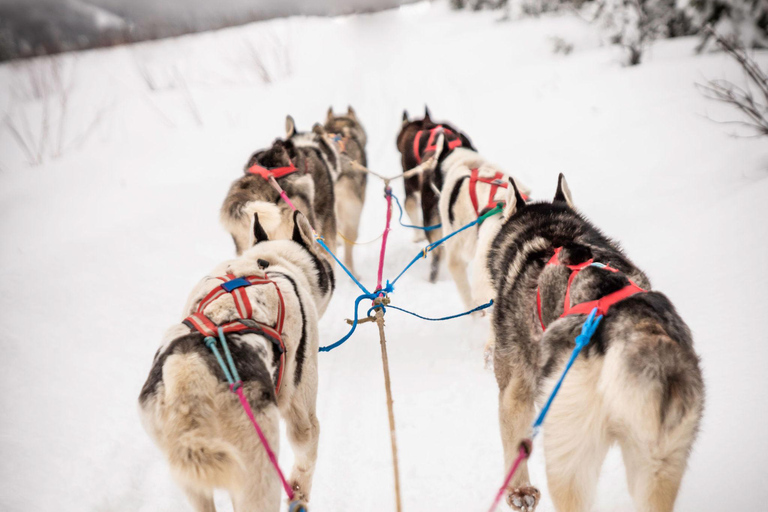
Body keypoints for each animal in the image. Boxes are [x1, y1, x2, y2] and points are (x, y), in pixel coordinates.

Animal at [488, 174, 704, 510]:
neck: (552, 233)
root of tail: (632, 327)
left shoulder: (515, 389)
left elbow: (514, 445)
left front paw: (519, 491)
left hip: (567, 453)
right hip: (659, 463)